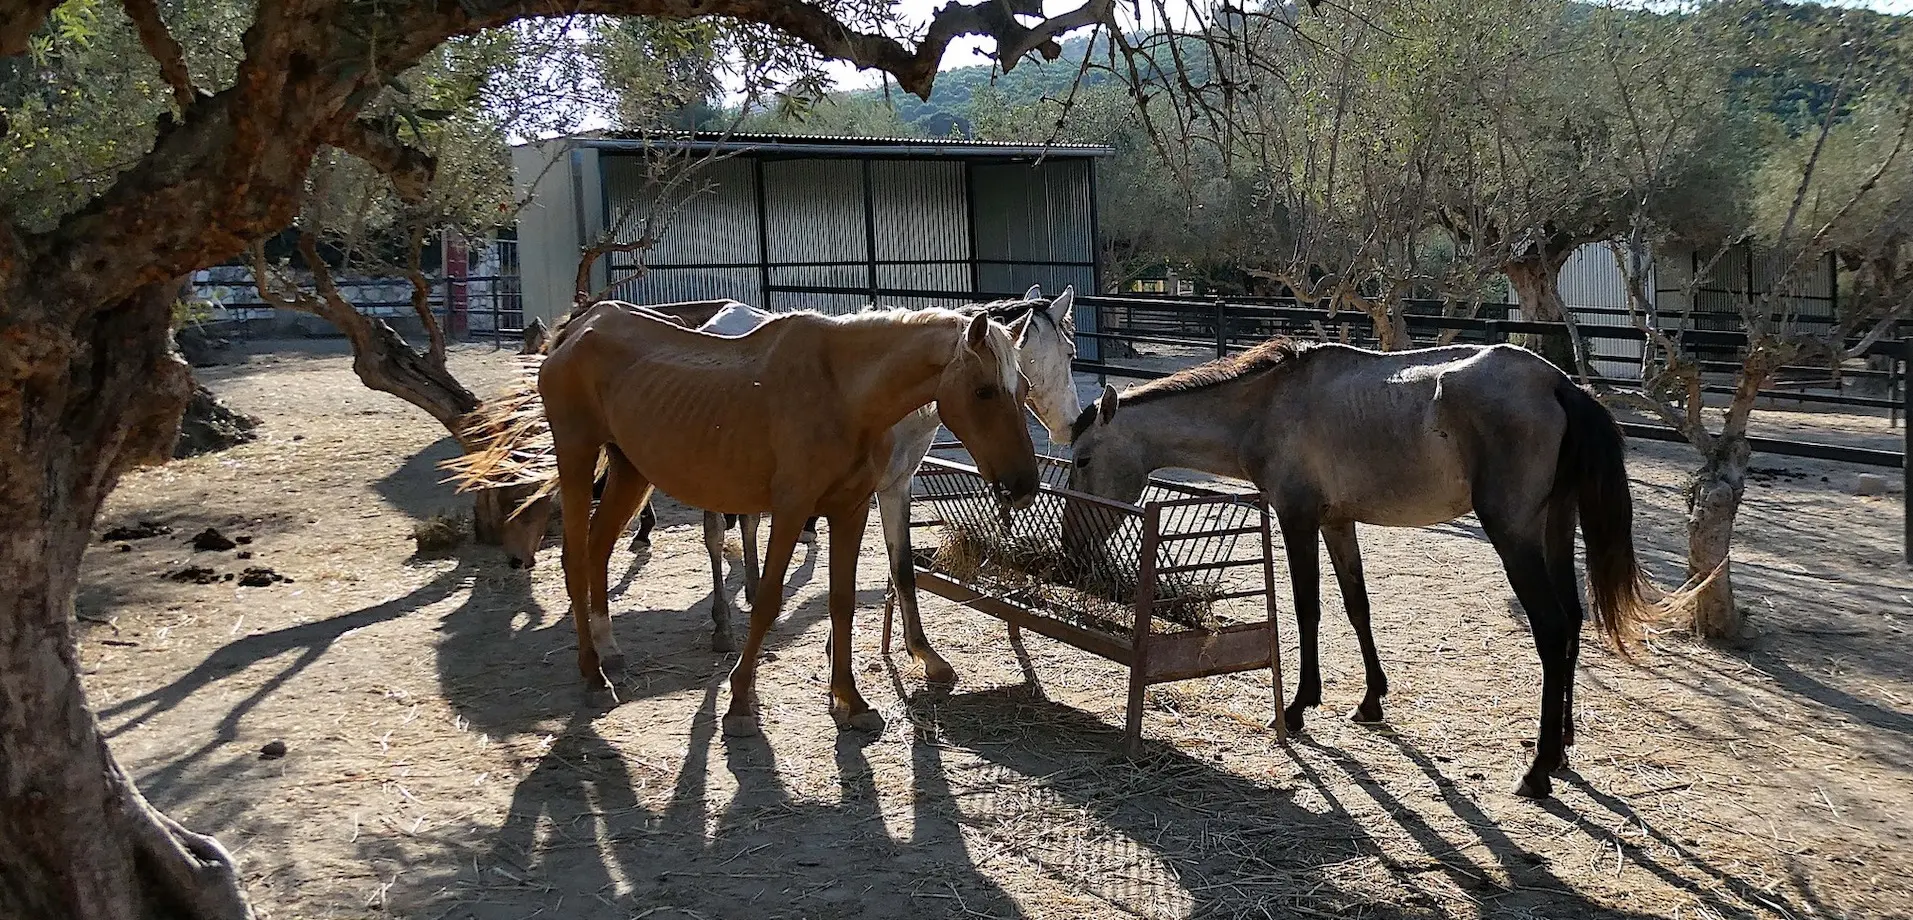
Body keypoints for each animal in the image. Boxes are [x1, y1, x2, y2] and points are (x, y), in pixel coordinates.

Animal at [453, 300, 1041, 737]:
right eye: (983, 391)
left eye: (1025, 390)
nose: (1024, 485)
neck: (841, 390)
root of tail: (578, 328)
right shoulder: (791, 509)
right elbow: (767, 599)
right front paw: (739, 702)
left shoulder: (850, 510)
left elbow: (843, 603)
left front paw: (849, 700)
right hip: (577, 458)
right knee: (577, 558)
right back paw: (592, 674)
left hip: (630, 470)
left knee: (597, 550)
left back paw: (611, 651)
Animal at [1062, 339, 1659, 799]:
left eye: (1083, 459)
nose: (1071, 549)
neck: (1270, 405)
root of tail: (1559, 385)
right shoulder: (1337, 522)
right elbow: (1357, 606)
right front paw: (1371, 700)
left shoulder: (1296, 519)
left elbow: (1307, 609)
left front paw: (1298, 708)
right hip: (1555, 527)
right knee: (1574, 621)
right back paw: (1562, 747)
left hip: (1515, 535)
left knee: (1552, 629)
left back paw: (1537, 769)